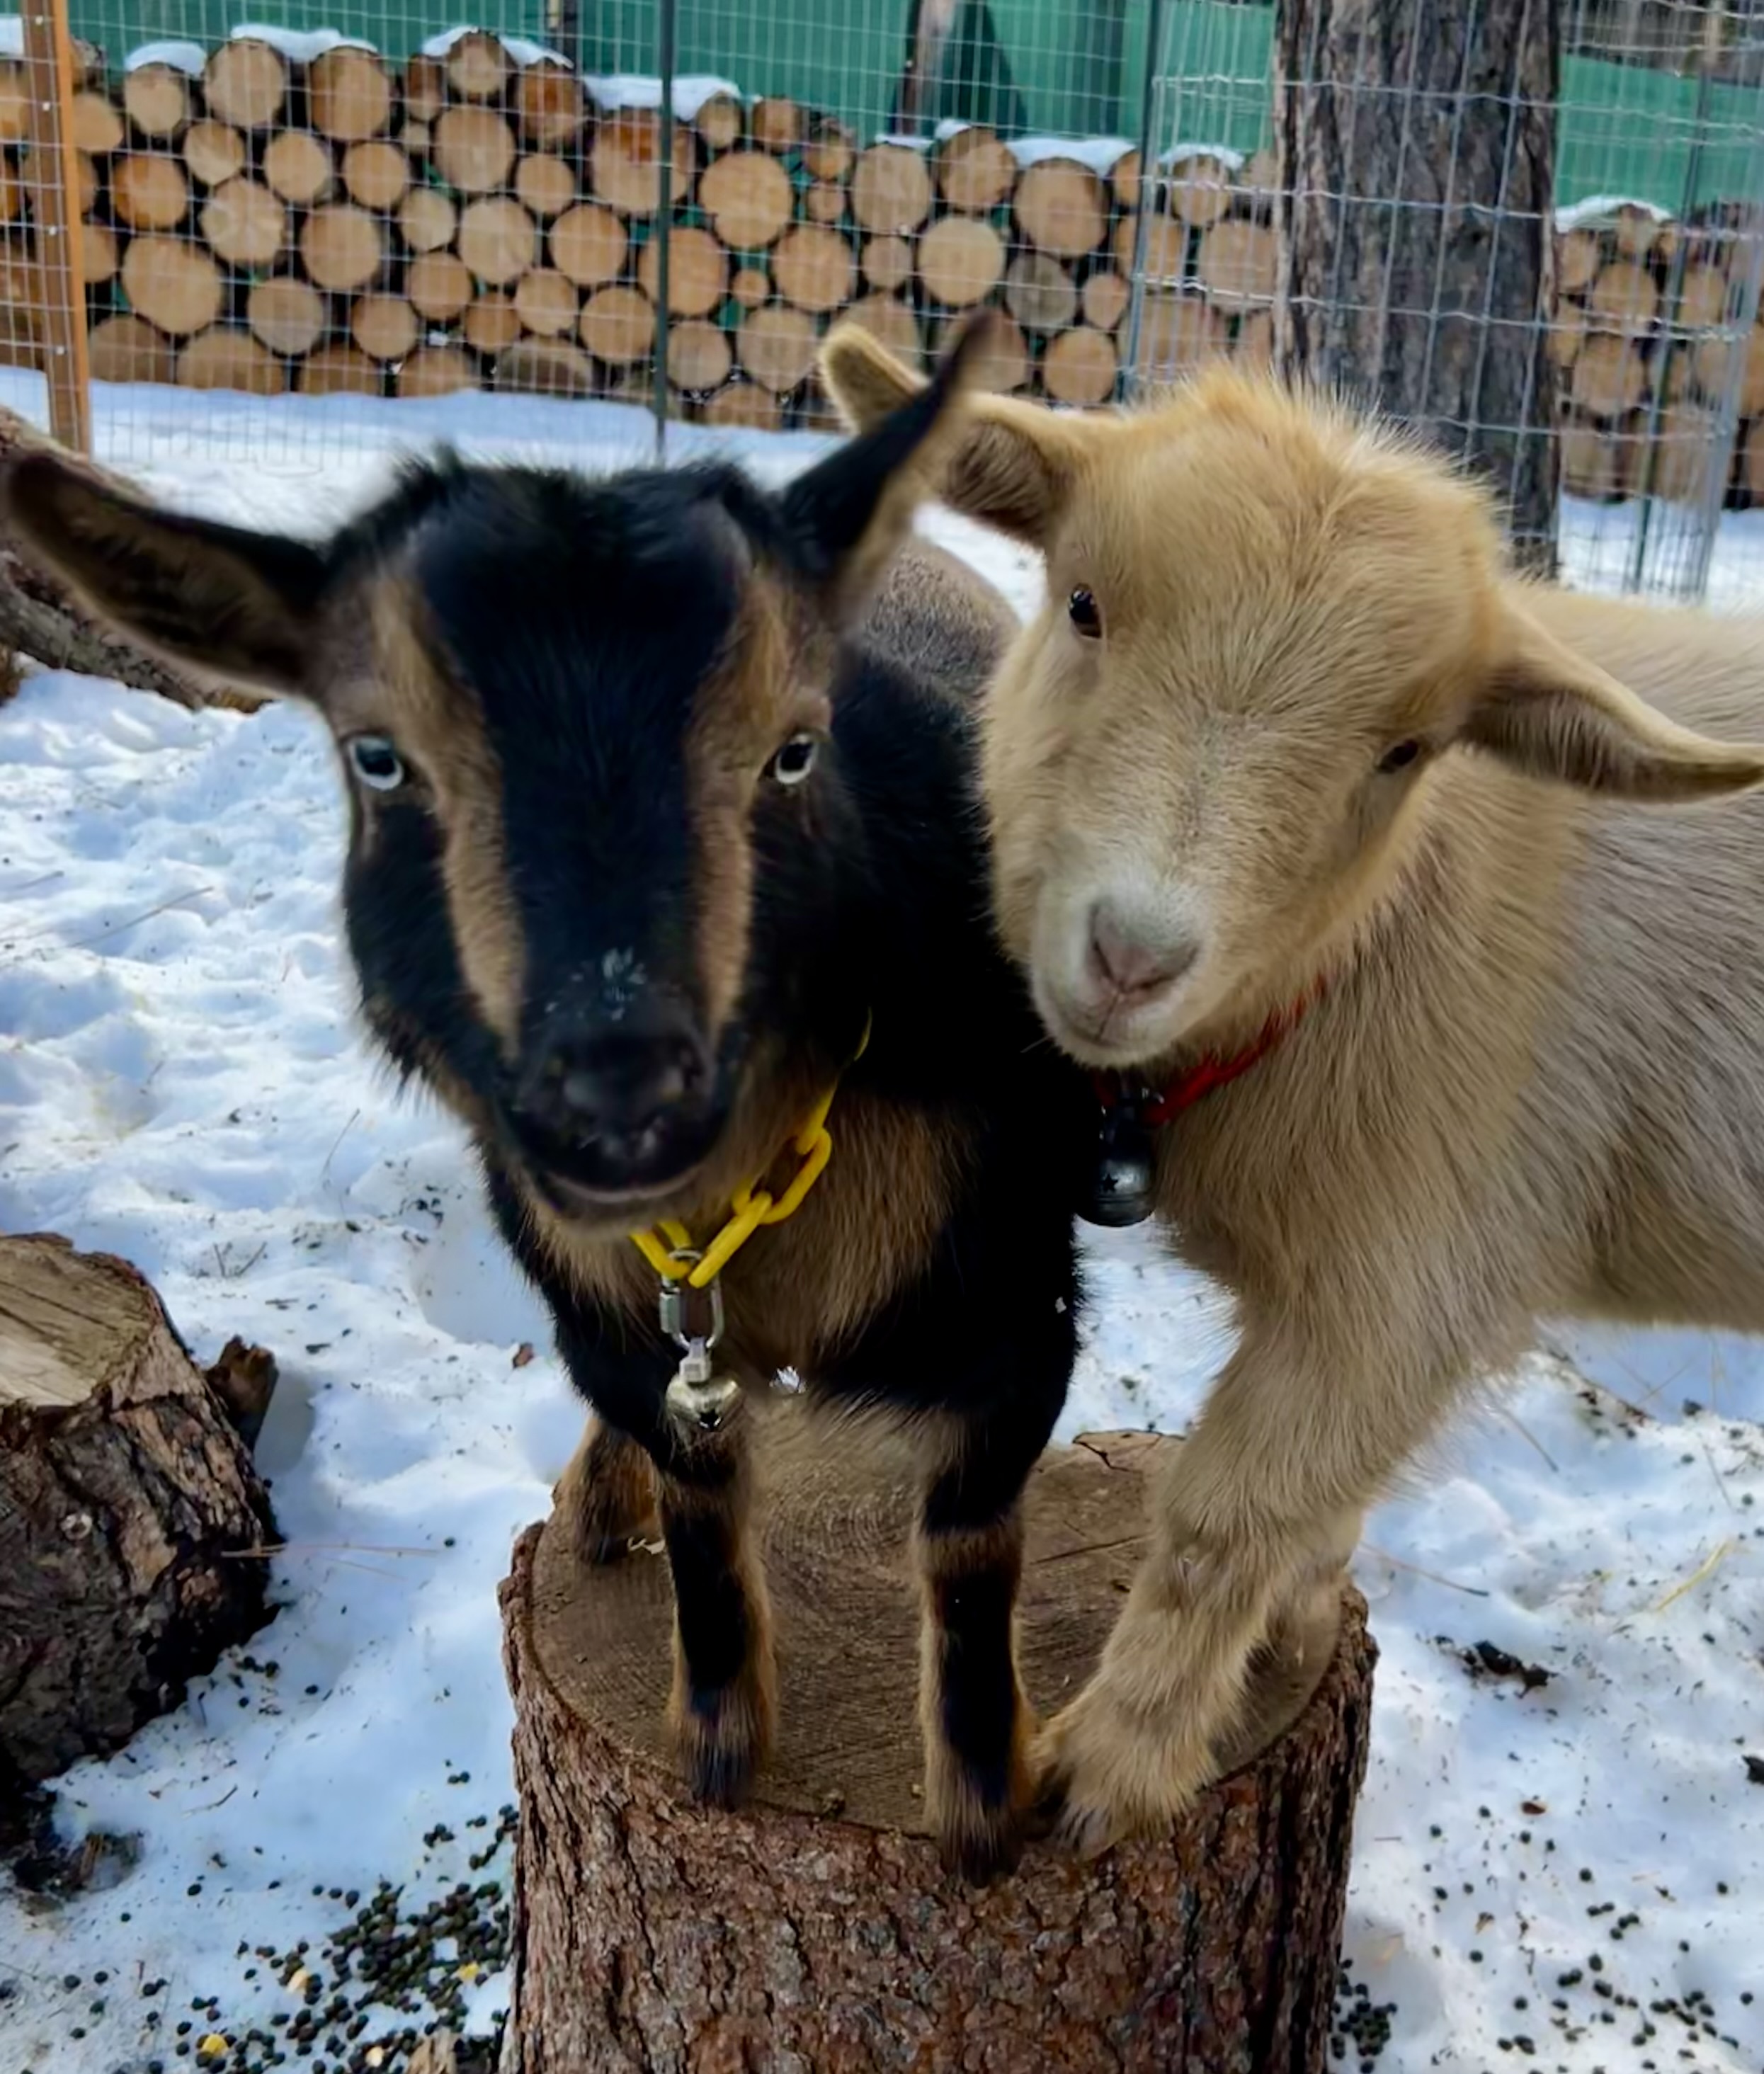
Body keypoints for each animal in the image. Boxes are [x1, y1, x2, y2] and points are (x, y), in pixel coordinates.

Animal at [5, 330, 1093, 1880]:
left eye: (795, 748)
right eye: (378, 756)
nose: (616, 1088)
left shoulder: (1020, 1299)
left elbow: (969, 1543)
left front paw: (987, 1805)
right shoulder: (601, 1305)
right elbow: (697, 1502)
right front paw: (717, 1739)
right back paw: (593, 1500)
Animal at [822, 324, 1764, 1853]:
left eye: (1404, 749)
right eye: (1082, 604)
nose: (1133, 955)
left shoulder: (1415, 1275)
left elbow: (1225, 1518)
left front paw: (1109, 1767)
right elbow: (1310, 1513)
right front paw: (1296, 1624)